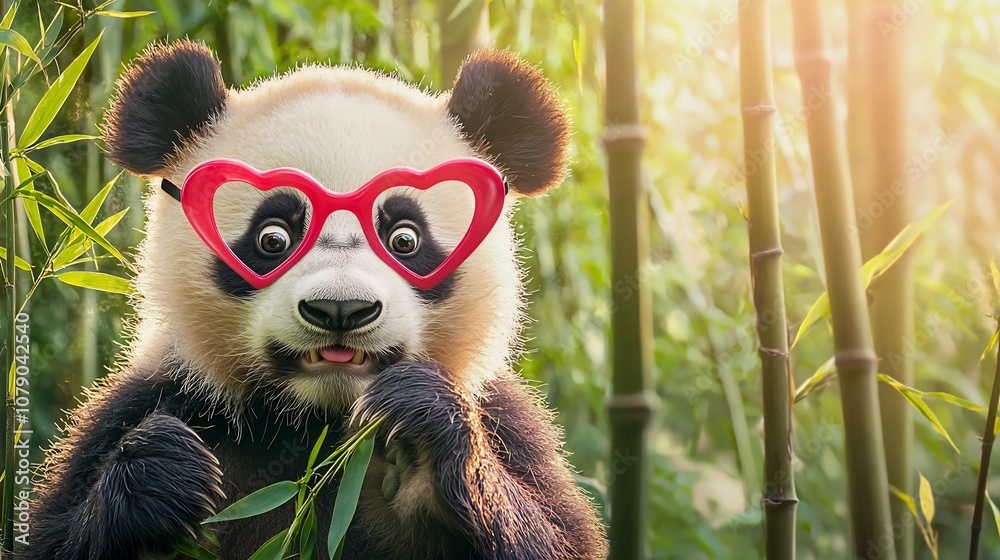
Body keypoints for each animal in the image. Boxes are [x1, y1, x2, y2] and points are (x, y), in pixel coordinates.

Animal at [22, 41, 607, 560]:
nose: (340, 310)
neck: (314, 427)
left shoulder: (507, 423)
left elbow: (556, 534)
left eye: (405, 239)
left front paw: (419, 431)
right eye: (273, 238)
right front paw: (163, 471)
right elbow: (57, 533)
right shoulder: (154, 400)